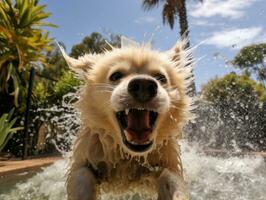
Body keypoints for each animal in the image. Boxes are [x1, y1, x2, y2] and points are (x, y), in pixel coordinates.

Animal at [61, 37, 192, 200]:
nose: (143, 85)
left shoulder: (166, 164)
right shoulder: (86, 157)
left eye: (161, 78)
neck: (129, 156)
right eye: (116, 76)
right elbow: (82, 176)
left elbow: (171, 179)